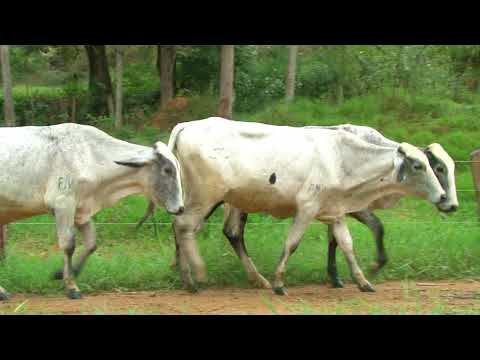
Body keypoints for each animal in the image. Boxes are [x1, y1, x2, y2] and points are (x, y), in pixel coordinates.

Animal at [0, 124, 184, 300]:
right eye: (167, 170)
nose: (181, 208)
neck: (92, 155)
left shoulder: (81, 212)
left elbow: (91, 244)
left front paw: (62, 274)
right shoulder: (63, 204)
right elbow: (68, 245)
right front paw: (71, 287)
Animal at [165, 116, 446, 294]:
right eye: (419, 165)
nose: (444, 198)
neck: (341, 157)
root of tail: (187, 125)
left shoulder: (336, 212)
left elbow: (347, 245)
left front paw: (362, 281)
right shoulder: (307, 208)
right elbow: (292, 243)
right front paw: (279, 283)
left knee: (196, 229)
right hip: (205, 197)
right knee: (184, 227)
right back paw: (194, 278)